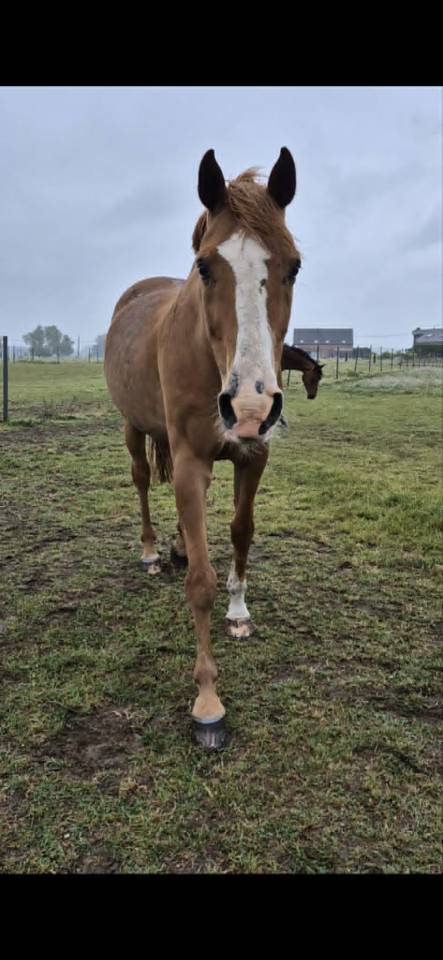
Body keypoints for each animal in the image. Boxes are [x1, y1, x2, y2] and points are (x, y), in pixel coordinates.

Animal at [104, 147, 301, 750]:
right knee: (144, 481)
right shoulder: (192, 461)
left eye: (293, 266)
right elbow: (200, 584)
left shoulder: (252, 456)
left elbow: (240, 531)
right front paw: (208, 701)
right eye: (207, 267)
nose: (252, 406)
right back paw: (151, 551)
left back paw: (175, 546)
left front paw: (239, 609)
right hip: (134, 428)